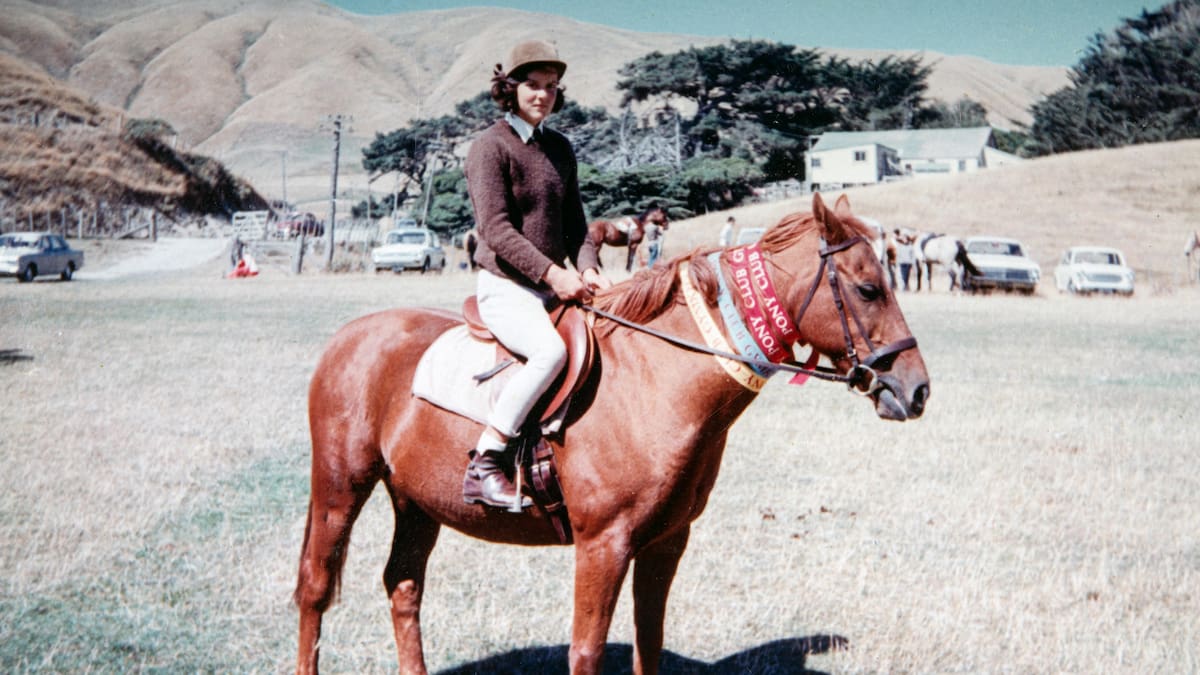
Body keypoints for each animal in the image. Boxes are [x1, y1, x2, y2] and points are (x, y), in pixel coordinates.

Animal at [294, 193, 930, 675]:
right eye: (869, 289)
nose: (917, 389)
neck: (652, 378)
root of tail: (349, 336)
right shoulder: (604, 545)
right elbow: (587, 652)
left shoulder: (666, 541)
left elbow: (649, 642)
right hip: (340, 486)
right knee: (315, 588)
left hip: (416, 500)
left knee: (403, 586)